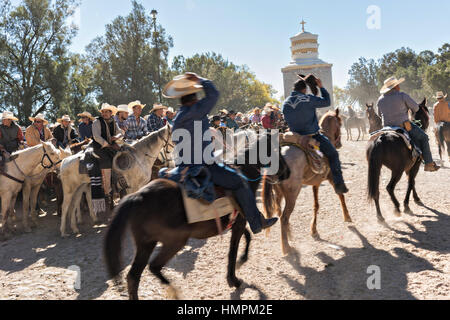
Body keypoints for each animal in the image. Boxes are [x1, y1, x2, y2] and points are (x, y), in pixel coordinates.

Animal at [103, 132, 290, 300]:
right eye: (276, 149)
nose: (287, 172)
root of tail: (138, 196)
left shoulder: (236, 222)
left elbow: (247, 236)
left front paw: (242, 260)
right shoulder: (240, 222)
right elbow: (233, 250)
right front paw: (234, 279)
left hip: (146, 243)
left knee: (134, 276)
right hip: (174, 241)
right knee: (153, 267)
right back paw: (173, 289)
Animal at [260, 110, 352, 255]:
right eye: (340, 123)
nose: (339, 144)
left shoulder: (315, 183)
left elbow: (316, 205)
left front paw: (314, 230)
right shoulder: (332, 177)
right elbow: (340, 194)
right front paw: (347, 216)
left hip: (278, 193)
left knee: (280, 214)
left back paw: (288, 236)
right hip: (292, 194)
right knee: (284, 217)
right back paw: (286, 248)